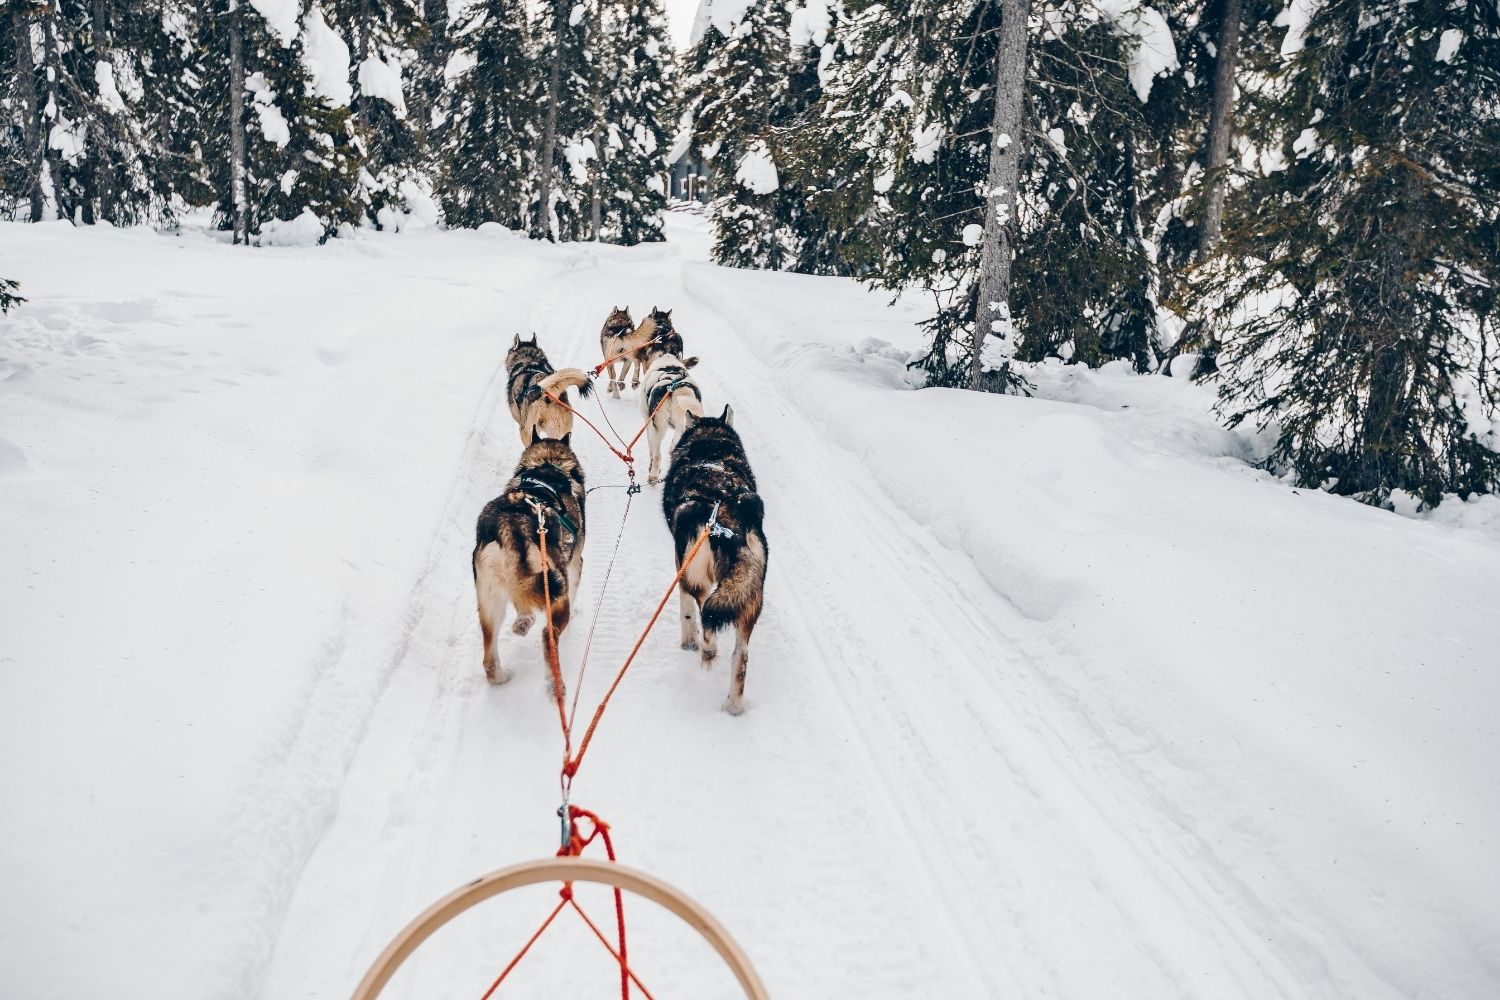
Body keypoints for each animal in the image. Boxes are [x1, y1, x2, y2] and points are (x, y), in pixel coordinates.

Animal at [474, 434, 585, 689]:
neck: (546, 465)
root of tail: (508, 524)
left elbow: (523, 608)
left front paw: (523, 621)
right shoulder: (575, 565)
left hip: (491, 602)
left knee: (489, 660)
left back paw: (501, 676)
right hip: (556, 590)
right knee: (548, 635)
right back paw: (555, 685)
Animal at [636, 355, 699, 488]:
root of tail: (675, 389)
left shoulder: (648, 424)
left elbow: (651, 449)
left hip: (657, 430)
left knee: (657, 455)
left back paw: (653, 477)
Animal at [663, 401, 768, 716]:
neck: (711, 451)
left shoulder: (681, 566)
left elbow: (685, 610)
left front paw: (688, 641)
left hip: (697, 576)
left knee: (705, 613)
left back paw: (707, 649)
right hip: (749, 595)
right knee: (740, 656)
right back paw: (734, 706)